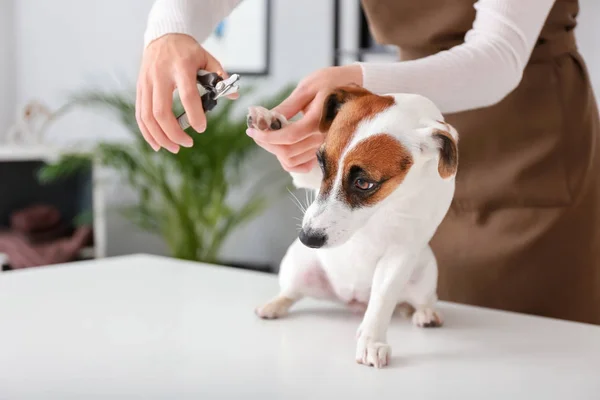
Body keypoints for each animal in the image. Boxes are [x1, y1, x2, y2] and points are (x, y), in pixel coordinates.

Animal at [246, 86, 458, 368]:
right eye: (321, 162)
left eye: (364, 183)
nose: (307, 238)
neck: (390, 201)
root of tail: (354, 301)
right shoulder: (306, 176)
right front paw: (270, 121)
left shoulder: (401, 252)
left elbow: (382, 299)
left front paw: (371, 341)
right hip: (297, 267)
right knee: (291, 292)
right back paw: (274, 305)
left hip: (424, 276)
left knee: (422, 300)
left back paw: (425, 313)